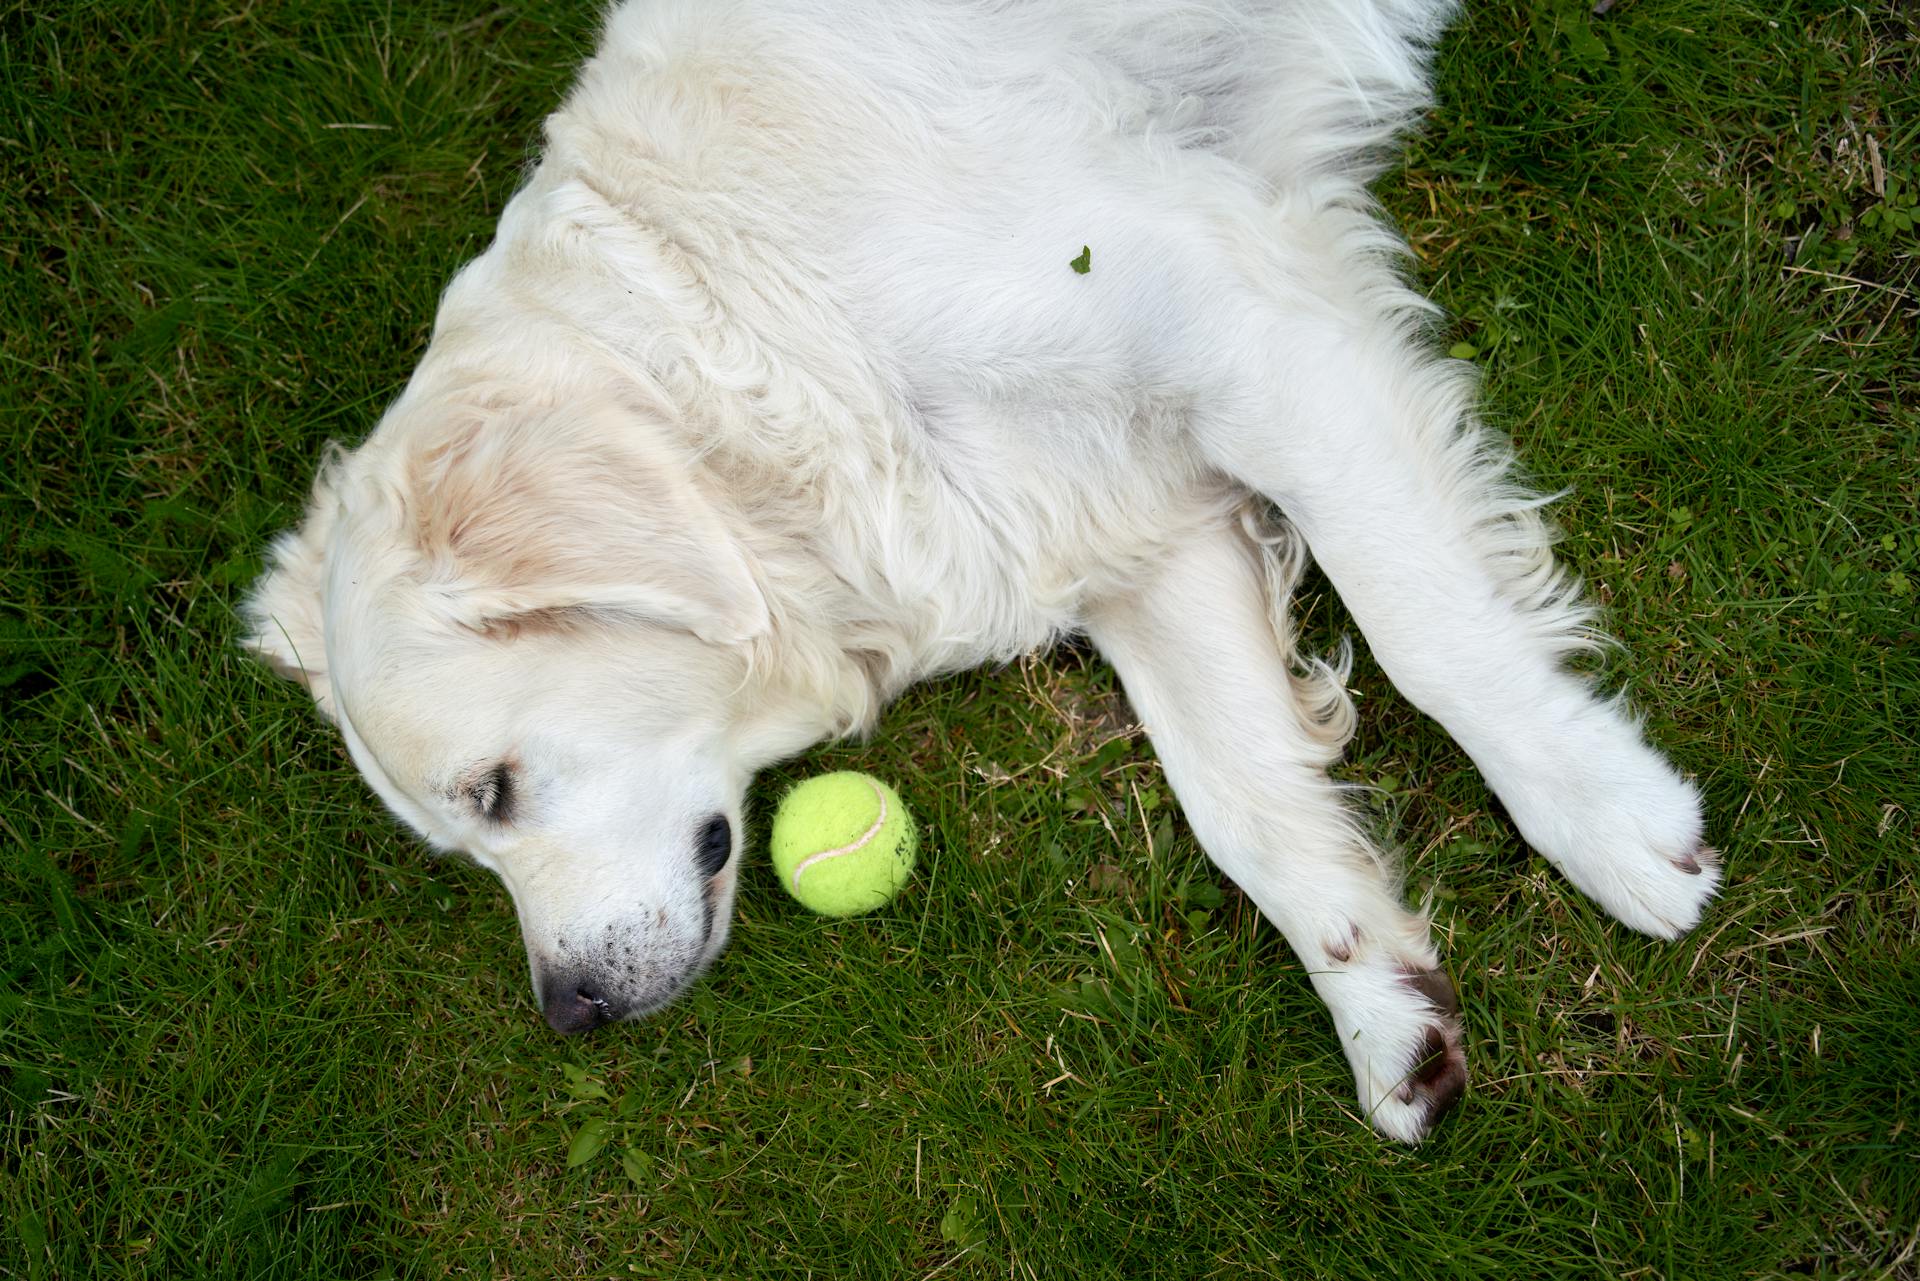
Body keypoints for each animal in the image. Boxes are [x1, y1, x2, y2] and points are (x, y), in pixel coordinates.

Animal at [243, 0, 1728, 1144]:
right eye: (463, 841)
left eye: (491, 791)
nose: (572, 1015)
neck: (752, 344)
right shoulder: (1129, 530)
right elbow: (1243, 802)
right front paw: (1381, 1008)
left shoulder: (1238, 325)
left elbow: (1426, 631)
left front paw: (1604, 817)